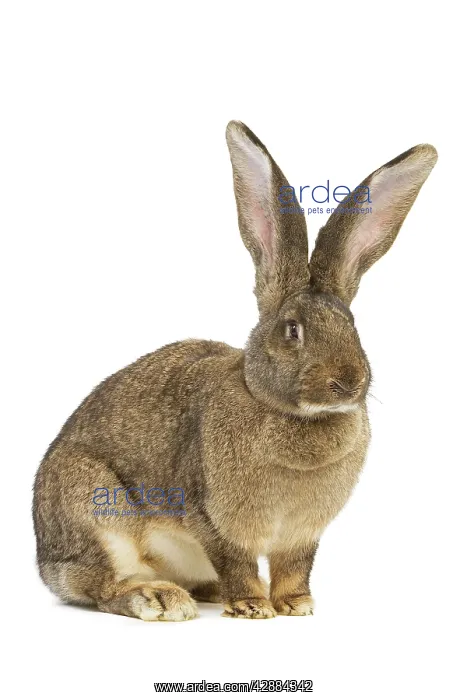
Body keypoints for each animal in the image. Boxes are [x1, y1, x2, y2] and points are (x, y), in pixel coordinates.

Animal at [33, 121, 437, 621]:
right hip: (95, 509)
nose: (348, 381)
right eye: (292, 330)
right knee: (104, 586)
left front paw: (295, 604)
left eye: (353, 326)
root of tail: (46, 562)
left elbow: (294, 567)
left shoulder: (301, 535)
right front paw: (251, 605)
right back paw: (161, 598)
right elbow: (236, 559)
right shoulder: (212, 517)